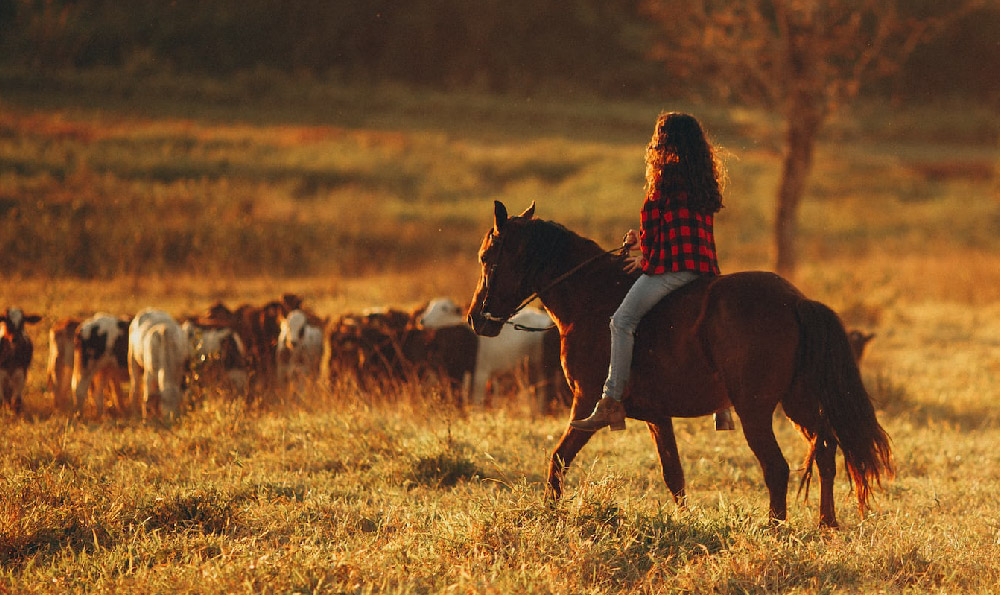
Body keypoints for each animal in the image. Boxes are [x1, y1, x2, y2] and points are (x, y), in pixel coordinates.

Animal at [416, 296, 556, 406]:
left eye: (444, 308)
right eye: (430, 306)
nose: (422, 320)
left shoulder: (480, 374)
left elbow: (477, 402)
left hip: (540, 367)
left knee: (542, 392)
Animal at [464, 203, 896, 528]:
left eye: (487, 258)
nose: (475, 319)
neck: (591, 298)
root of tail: (796, 301)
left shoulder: (585, 404)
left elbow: (557, 459)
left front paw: (549, 514)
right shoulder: (658, 417)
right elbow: (674, 475)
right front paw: (683, 521)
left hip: (756, 410)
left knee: (777, 467)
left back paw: (775, 528)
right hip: (797, 403)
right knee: (825, 450)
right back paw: (827, 524)